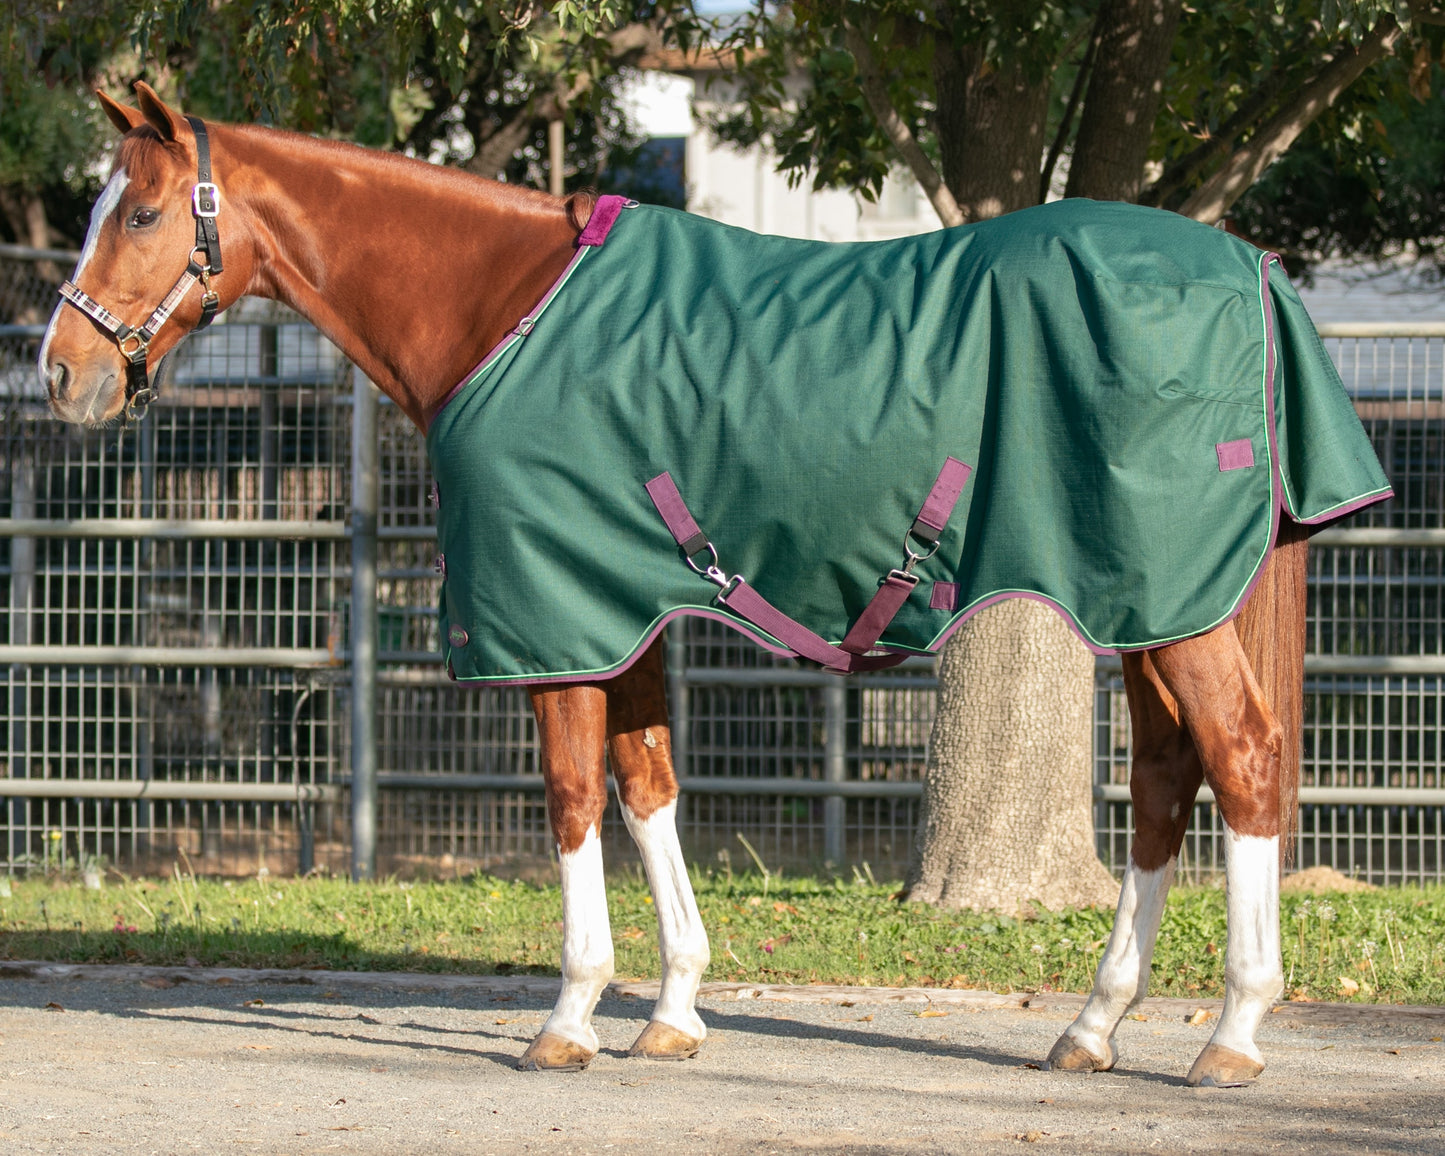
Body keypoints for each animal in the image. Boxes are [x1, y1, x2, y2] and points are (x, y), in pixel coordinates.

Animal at [39, 83, 1391, 1087]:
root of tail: (1250, 269)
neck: (502, 309)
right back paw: (1092, 1028)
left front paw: (568, 1018)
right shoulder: (619, 610)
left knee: (1242, 760)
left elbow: (571, 799)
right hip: (1157, 605)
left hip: (1172, 607)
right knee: (1168, 781)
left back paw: (1230, 1035)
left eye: (143, 213)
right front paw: (674, 1009)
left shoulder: (558, 620)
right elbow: (648, 790)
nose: (59, 374)